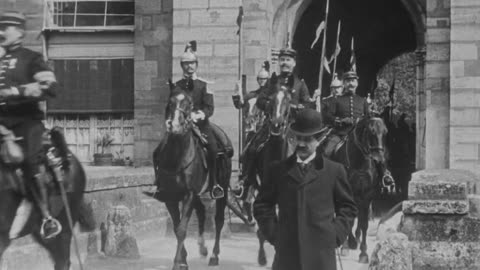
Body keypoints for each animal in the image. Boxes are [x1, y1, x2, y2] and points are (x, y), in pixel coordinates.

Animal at [151, 82, 232, 270]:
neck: (176, 157)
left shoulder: (188, 194)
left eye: (189, 104)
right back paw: (202, 247)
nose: (174, 125)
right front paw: (183, 260)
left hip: (222, 189)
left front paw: (177, 262)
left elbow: (182, 229)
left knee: (218, 220)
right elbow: (176, 227)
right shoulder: (171, 196)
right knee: (201, 212)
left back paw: (214, 256)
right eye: (170, 101)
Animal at [330, 116, 390, 264]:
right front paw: (348, 245)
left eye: (385, 132)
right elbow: (349, 220)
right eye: (371, 131)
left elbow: (364, 224)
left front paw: (363, 253)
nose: (379, 159)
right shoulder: (349, 194)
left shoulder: (366, 196)